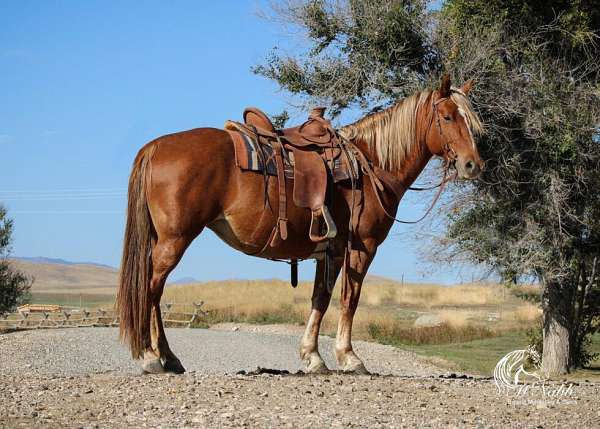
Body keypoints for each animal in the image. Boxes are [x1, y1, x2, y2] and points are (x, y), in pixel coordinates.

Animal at [116, 75, 482, 372]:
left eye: (471, 121)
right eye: (447, 117)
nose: (472, 165)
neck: (371, 165)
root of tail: (156, 146)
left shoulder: (330, 250)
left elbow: (320, 298)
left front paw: (313, 357)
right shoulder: (361, 247)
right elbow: (349, 300)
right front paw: (349, 358)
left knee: (154, 293)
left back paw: (169, 358)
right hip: (175, 238)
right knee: (151, 289)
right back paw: (151, 357)